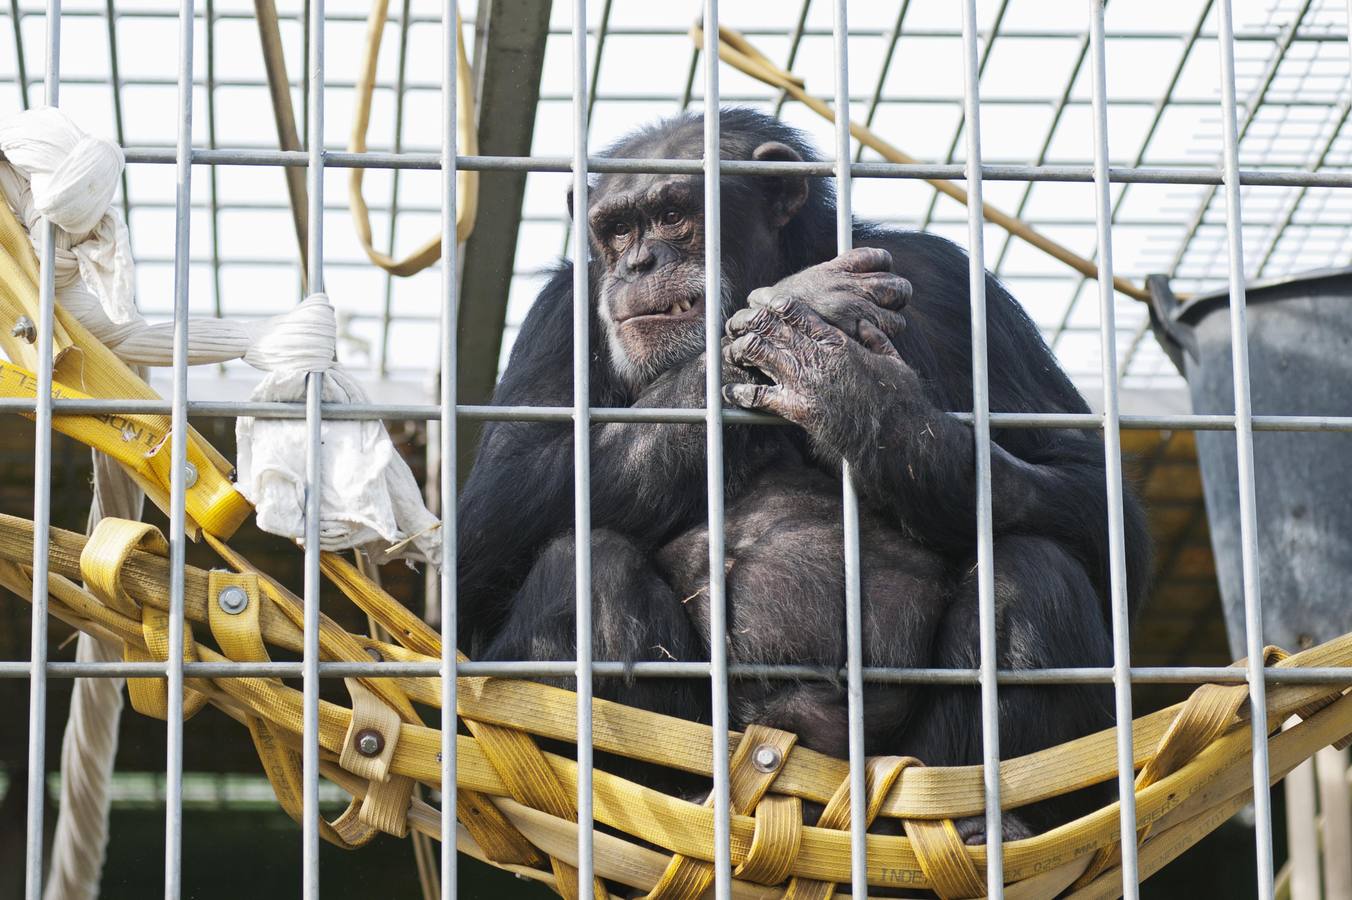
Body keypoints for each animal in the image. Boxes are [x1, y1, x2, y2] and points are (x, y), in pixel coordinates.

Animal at [456, 108, 1151, 837]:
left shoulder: (952, 285)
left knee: (1034, 572)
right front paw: (798, 305)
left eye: (673, 214)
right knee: (588, 569)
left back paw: (986, 823)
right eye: (616, 229)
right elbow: (492, 514)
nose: (638, 262)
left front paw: (872, 409)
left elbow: (1089, 488)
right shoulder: (560, 312)